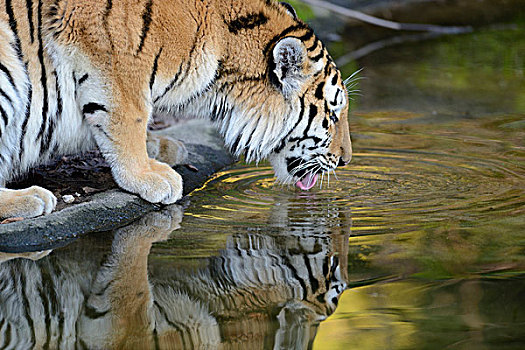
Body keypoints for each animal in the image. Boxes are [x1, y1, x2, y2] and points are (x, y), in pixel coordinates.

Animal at [1, 0, 352, 219]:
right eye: (333, 116)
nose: (346, 160)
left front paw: (162, 148)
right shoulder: (112, 58)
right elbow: (130, 115)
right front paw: (146, 175)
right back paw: (31, 198)